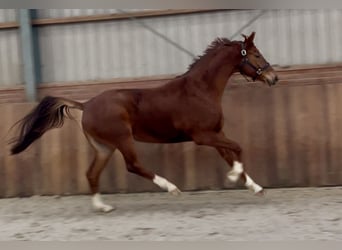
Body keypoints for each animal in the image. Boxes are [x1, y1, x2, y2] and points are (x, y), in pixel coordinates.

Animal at [10, 30, 278, 211]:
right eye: (256, 54)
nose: (273, 78)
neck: (200, 90)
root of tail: (86, 105)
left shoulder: (216, 133)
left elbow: (231, 155)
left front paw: (255, 187)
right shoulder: (203, 136)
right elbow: (238, 148)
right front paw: (234, 177)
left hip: (104, 147)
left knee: (91, 173)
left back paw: (102, 207)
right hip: (122, 139)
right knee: (132, 165)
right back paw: (171, 188)